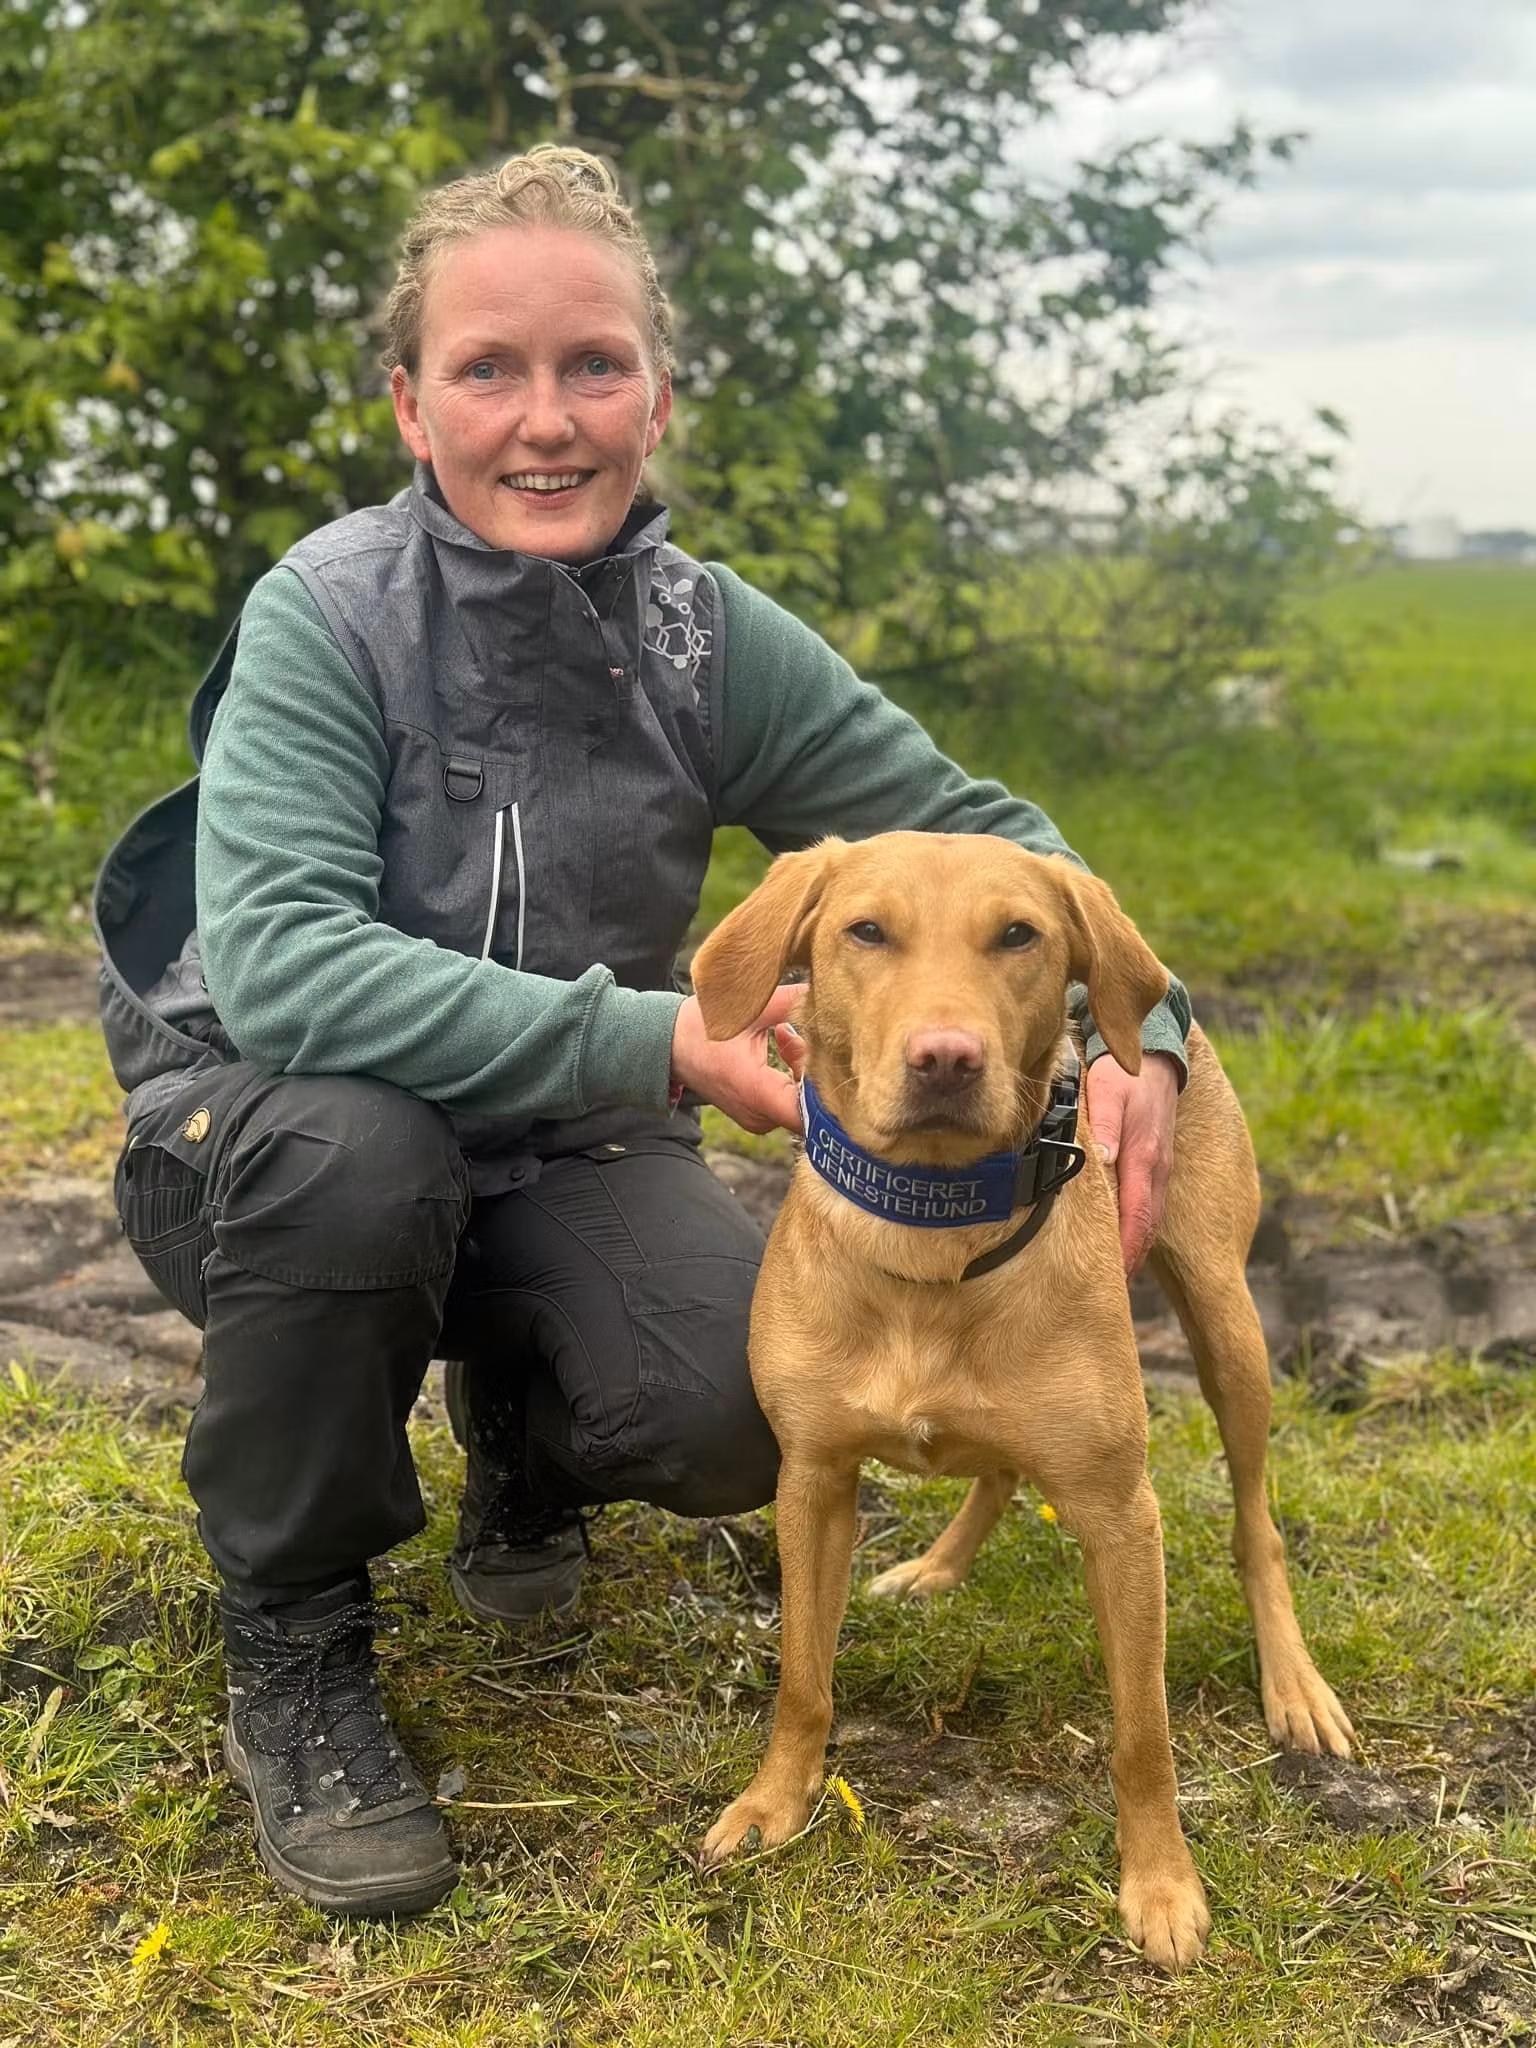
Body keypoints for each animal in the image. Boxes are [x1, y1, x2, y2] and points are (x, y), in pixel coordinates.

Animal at [689, 832, 1351, 1973]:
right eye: (866, 930)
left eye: (1018, 935)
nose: (947, 1058)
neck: (931, 1228)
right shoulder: (811, 1479)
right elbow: (802, 1679)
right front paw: (775, 1804)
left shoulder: (1121, 1516)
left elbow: (1142, 1734)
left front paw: (1161, 1884)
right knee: (997, 1464)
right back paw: (937, 1566)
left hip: (1229, 1331)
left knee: (1255, 1522)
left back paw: (1295, 1685)